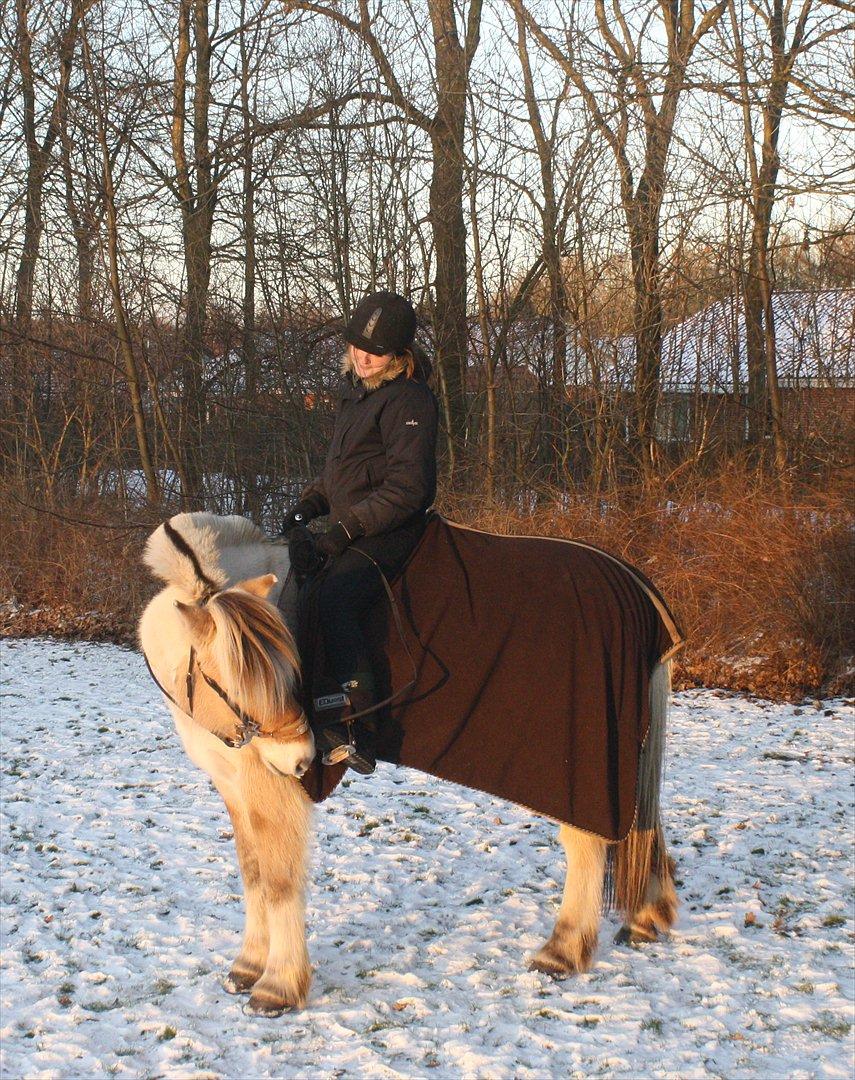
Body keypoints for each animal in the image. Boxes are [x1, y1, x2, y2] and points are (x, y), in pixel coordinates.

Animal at [138, 509, 673, 1015]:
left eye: (288, 673)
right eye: (226, 681)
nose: (301, 757)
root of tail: (632, 582)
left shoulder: (272, 789)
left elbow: (278, 881)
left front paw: (278, 986)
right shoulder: (233, 784)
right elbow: (252, 873)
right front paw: (248, 966)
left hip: (581, 765)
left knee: (587, 843)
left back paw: (562, 950)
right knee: (643, 822)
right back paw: (648, 918)